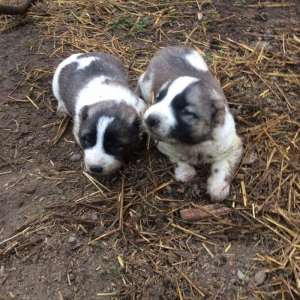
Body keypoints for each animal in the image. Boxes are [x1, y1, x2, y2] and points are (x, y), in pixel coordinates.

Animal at [137, 45, 244, 202]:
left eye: (184, 111)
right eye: (158, 99)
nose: (149, 119)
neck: (194, 143)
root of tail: (169, 47)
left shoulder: (232, 147)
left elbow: (222, 167)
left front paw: (218, 187)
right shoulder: (164, 145)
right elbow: (177, 157)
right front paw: (186, 172)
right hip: (146, 84)